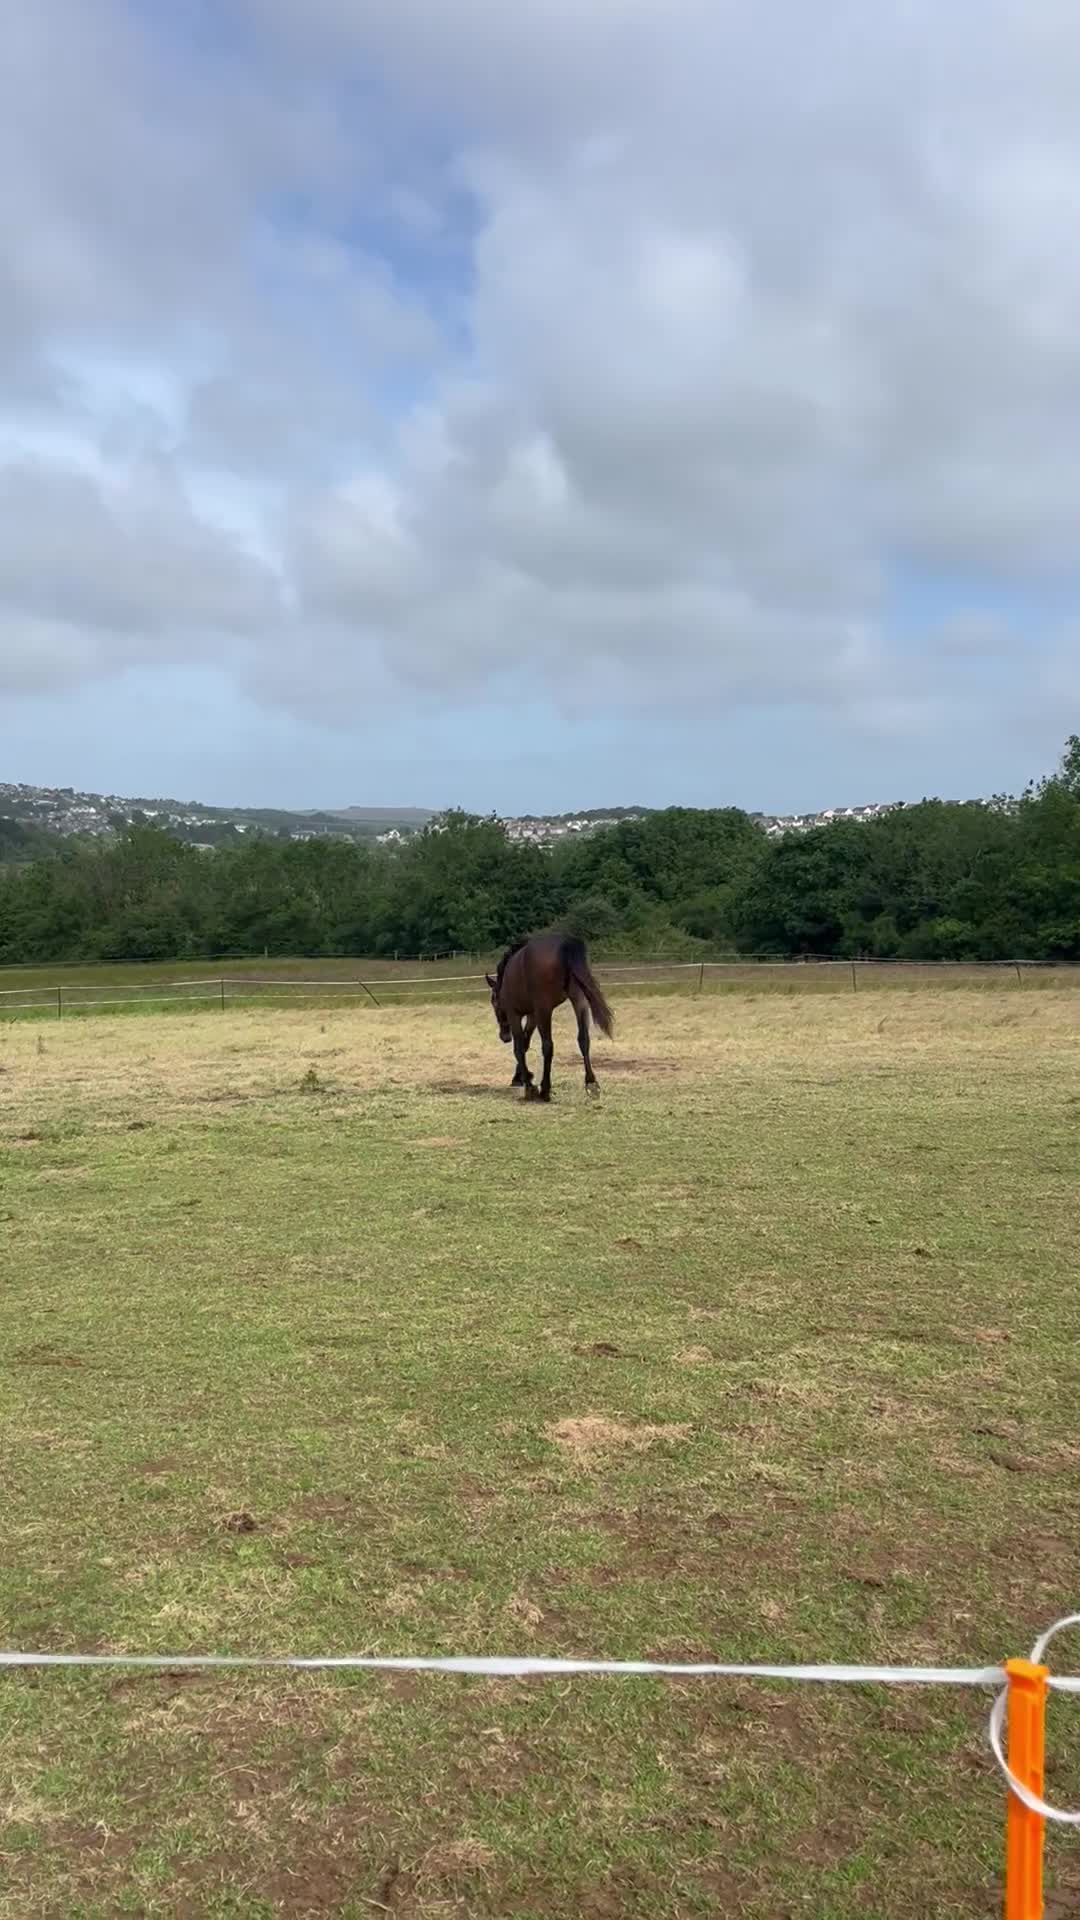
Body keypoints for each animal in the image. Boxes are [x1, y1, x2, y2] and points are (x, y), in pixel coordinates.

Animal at [486, 933, 614, 1101]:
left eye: (493, 1001)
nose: (504, 1036)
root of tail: (565, 945)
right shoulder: (533, 1015)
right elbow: (525, 1043)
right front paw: (520, 1077)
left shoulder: (516, 1015)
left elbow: (519, 1047)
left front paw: (528, 1085)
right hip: (579, 1000)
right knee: (583, 1039)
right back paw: (591, 1083)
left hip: (545, 1010)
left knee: (548, 1046)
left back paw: (545, 1089)